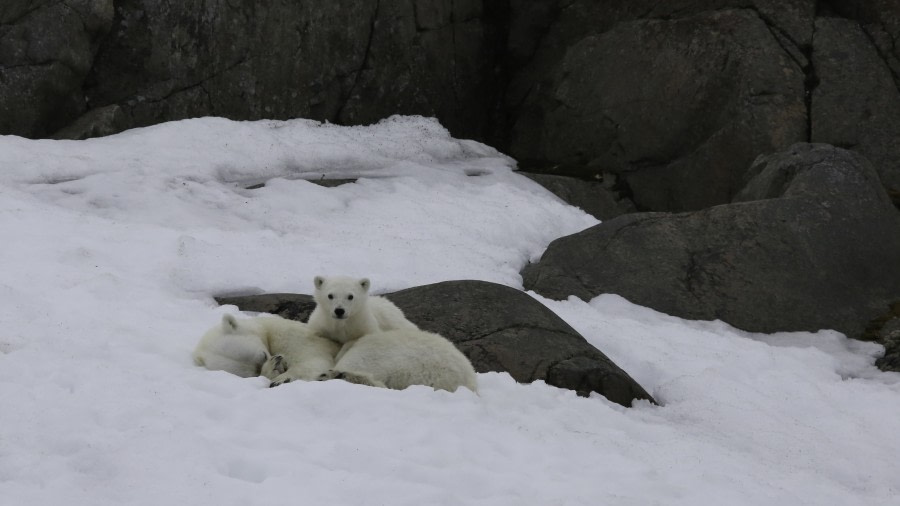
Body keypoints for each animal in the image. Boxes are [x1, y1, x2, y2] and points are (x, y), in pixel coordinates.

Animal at [193, 314, 338, 386]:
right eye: (254, 374)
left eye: (263, 355)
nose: (279, 361)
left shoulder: (289, 335)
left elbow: (312, 359)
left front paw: (281, 379)